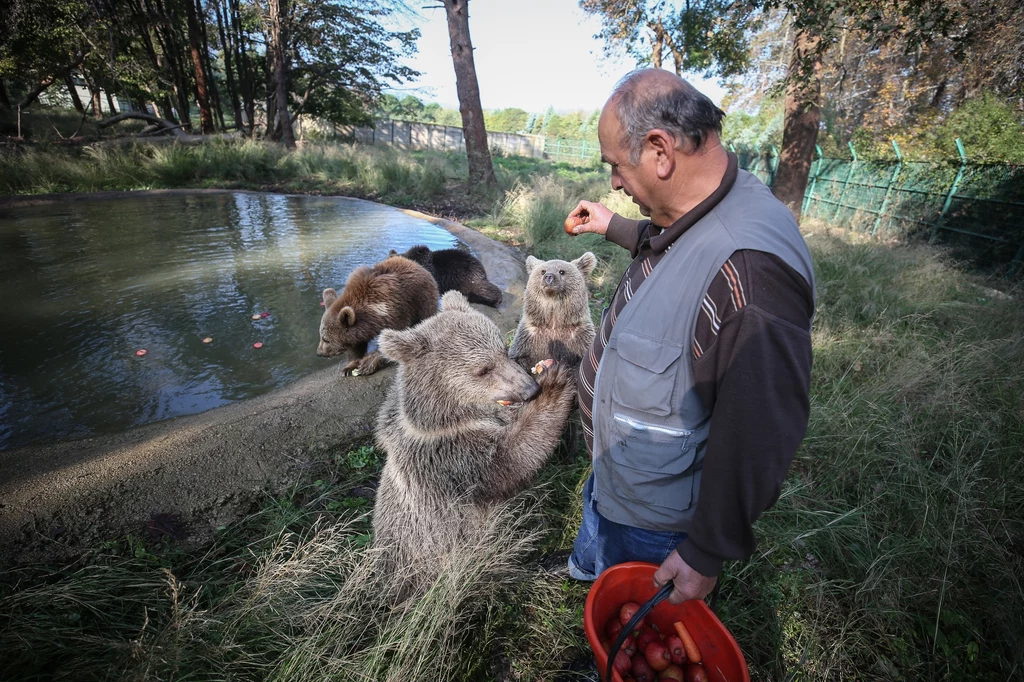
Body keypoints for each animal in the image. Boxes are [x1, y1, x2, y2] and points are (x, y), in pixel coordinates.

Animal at [370, 288, 581, 585]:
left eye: (503, 350)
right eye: (483, 369)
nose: (530, 389)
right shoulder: (447, 459)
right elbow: (507, 461)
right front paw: (554, 384)